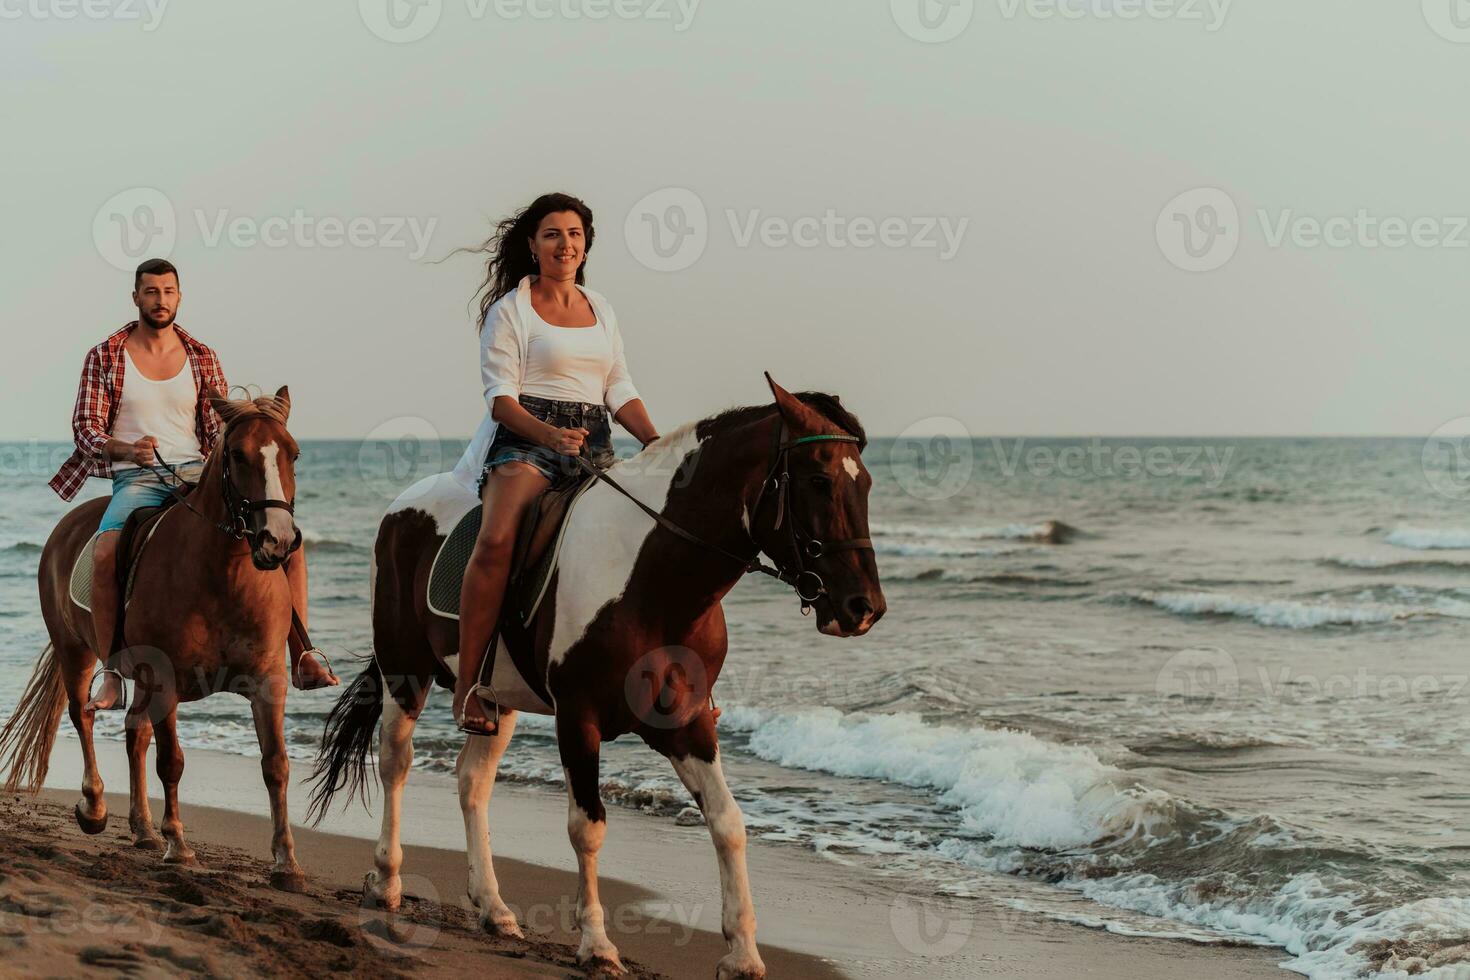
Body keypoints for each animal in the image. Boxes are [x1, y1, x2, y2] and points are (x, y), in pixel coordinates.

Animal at [0, 387, 310, 893]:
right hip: (75, 652)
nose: (277, 541)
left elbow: (276, 764)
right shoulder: (165, 678)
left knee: (134, 732)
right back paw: (96, 808)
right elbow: (172, 761)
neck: (222, 576)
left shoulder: (268, 681)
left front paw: (286, 863)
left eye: (293, 453)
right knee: (84, 716)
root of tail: (66, 527)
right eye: (238, 455)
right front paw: (178, 845)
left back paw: (142, 828)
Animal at [308, 373, 882, 975]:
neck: (651, 581)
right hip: (406, 673)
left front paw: (743, 953)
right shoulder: (577, 717)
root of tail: (404, 505)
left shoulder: (686, 721)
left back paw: (493, 908)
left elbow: (728, 822)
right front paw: (598, 944)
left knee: (472, 782)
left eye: (865, 484)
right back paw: (387, 881)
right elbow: (588, 827)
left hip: (497, 700)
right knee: (396, 762)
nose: (863, 607)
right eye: (818, 480)